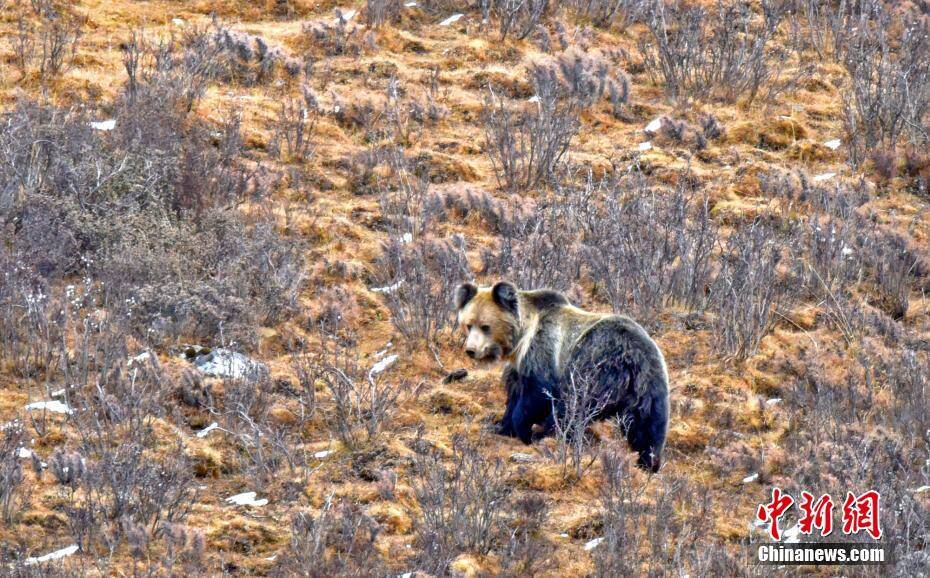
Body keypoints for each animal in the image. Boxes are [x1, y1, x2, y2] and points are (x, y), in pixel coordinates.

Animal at [454, 281, 669, 472]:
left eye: (485, 326)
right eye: (468, 324)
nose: (471, 350)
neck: (521, 339)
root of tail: (630, 356)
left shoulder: (543, 352)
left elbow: (536, 394)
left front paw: (523, 430)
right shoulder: (519, 367)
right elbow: (514, 395)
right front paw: (501, 426)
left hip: (592, 366)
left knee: (573, 406)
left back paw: (547, 435)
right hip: (649, 381)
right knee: (649, 423)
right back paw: (648, 460)